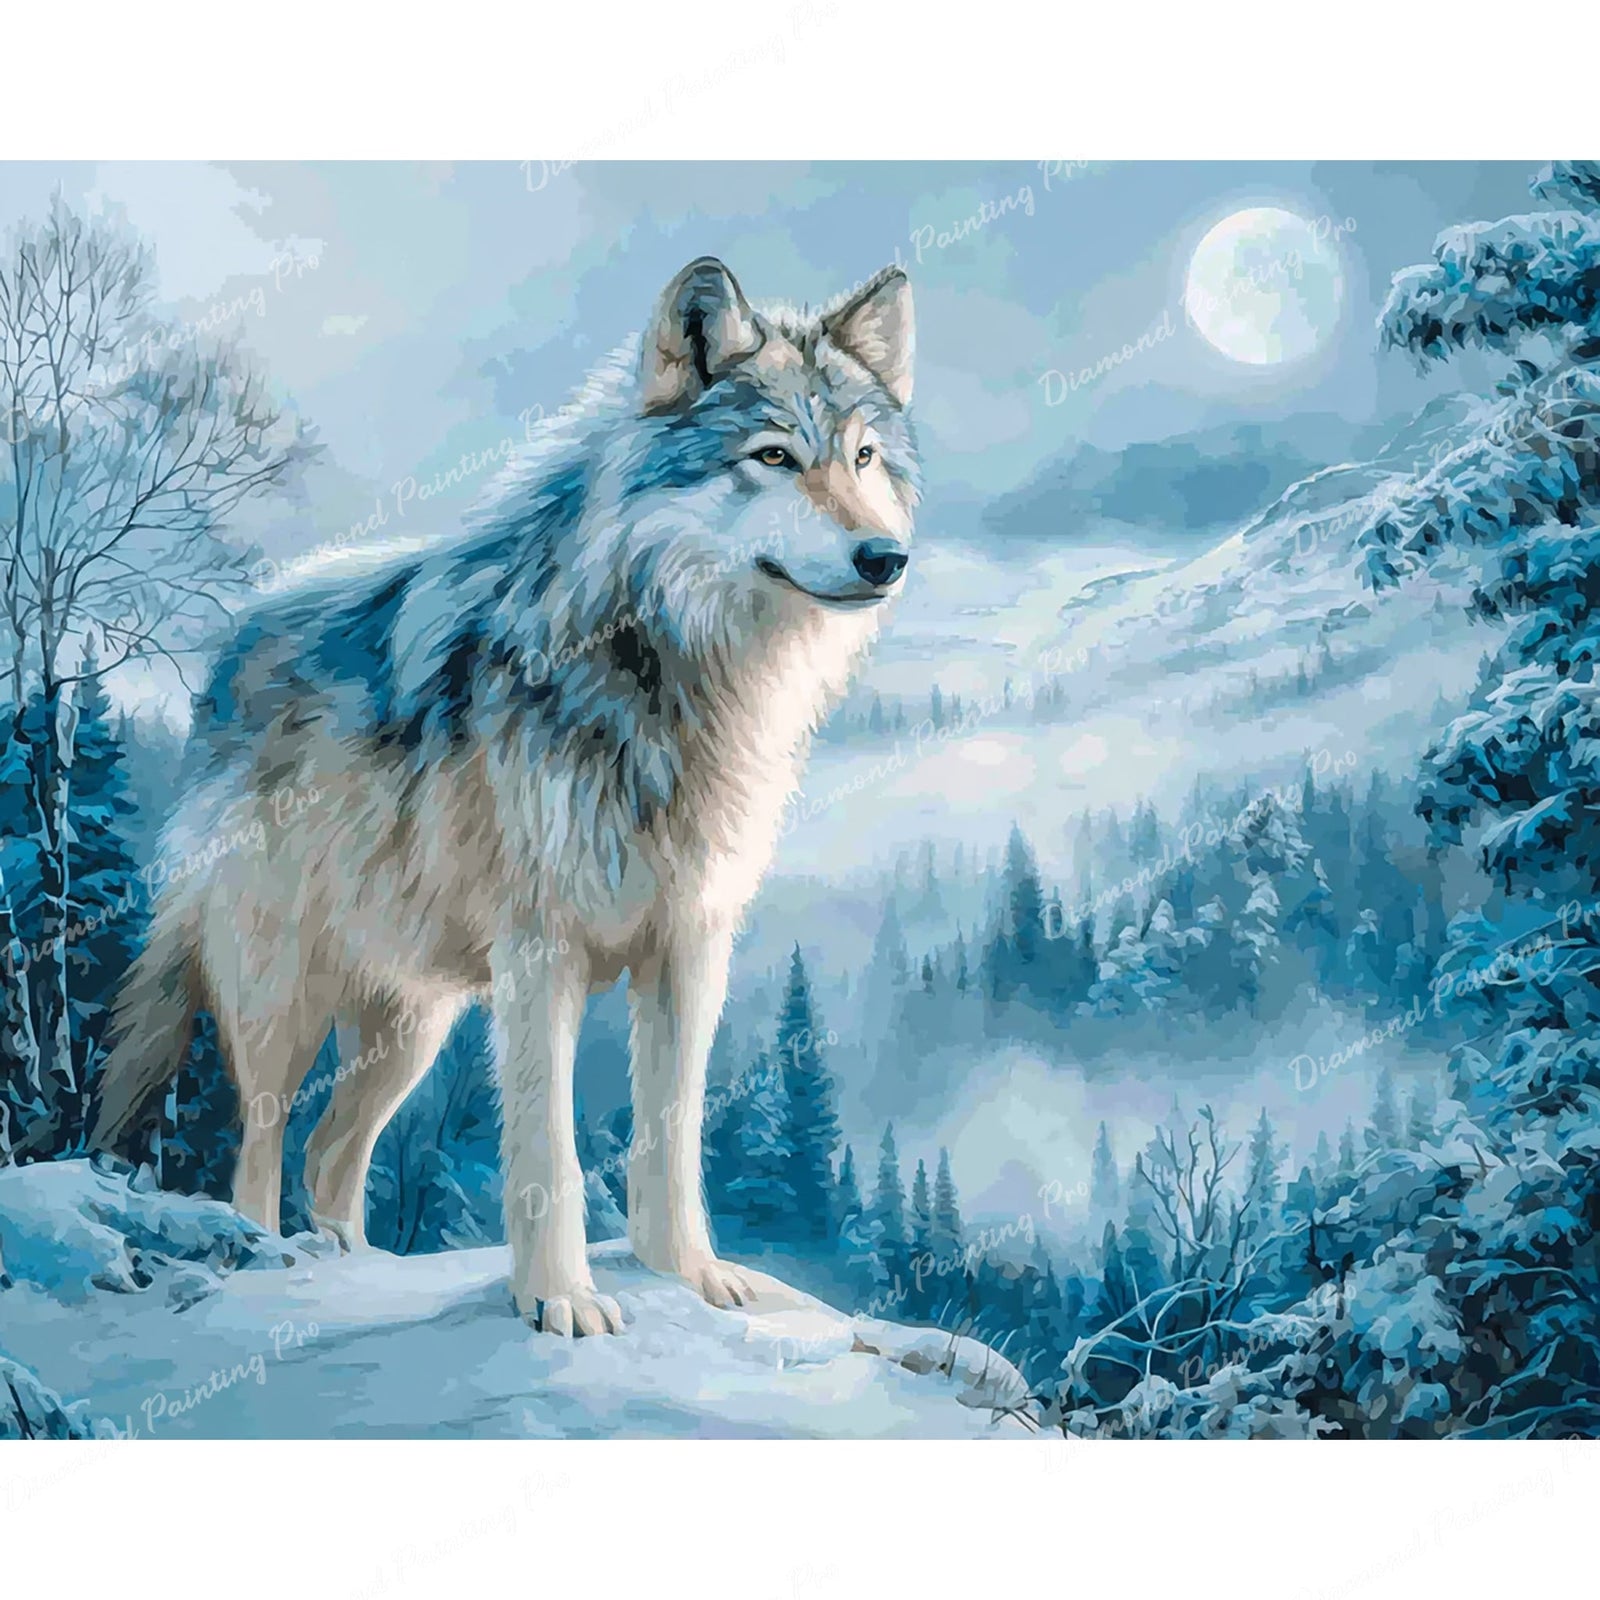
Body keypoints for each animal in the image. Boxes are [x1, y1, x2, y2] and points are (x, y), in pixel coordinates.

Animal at [93, 256, 919, 1336]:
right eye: (774, 456)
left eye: (863, 457)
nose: (884, 558)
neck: (663, 673)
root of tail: (234, 642)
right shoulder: (541, 955)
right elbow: (547, 1148)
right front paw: (561, 1299)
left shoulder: (690, 949)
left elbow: (672, 1137)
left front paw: (690, 1275)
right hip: (282, 995)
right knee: (260, 1147)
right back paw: (270, 1263)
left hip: (411, 1026)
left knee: (328, 1153)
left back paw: (347, 1260)